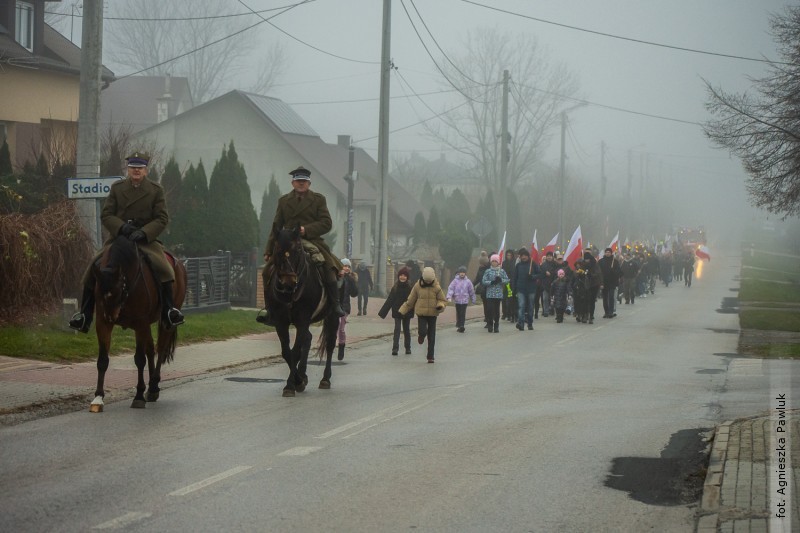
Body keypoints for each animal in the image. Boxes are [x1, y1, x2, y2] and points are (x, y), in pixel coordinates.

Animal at [88, 235, 188, 414]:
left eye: (119, 290)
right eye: (98, 291)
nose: (111, 317)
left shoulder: (140, 322)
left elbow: (139, 359)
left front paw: (139, 396)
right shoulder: (102, 323)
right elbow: (103, 360)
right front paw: (98, 398)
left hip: (165, 323)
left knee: (161, 349)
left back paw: (153, 386)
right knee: (151, 349)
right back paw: (152, 388)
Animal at [264, 227, 336, 396]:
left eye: (297, 249)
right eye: (277, 248)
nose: (288, 281)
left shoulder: (303, 320)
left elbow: (295, 352)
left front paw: (292, 384)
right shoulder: (281, 322)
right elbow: (287, 352)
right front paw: (298, 380)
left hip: (333, 315)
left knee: (330, 344)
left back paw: (325, 379)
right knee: (308, 339)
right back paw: (303, 374)